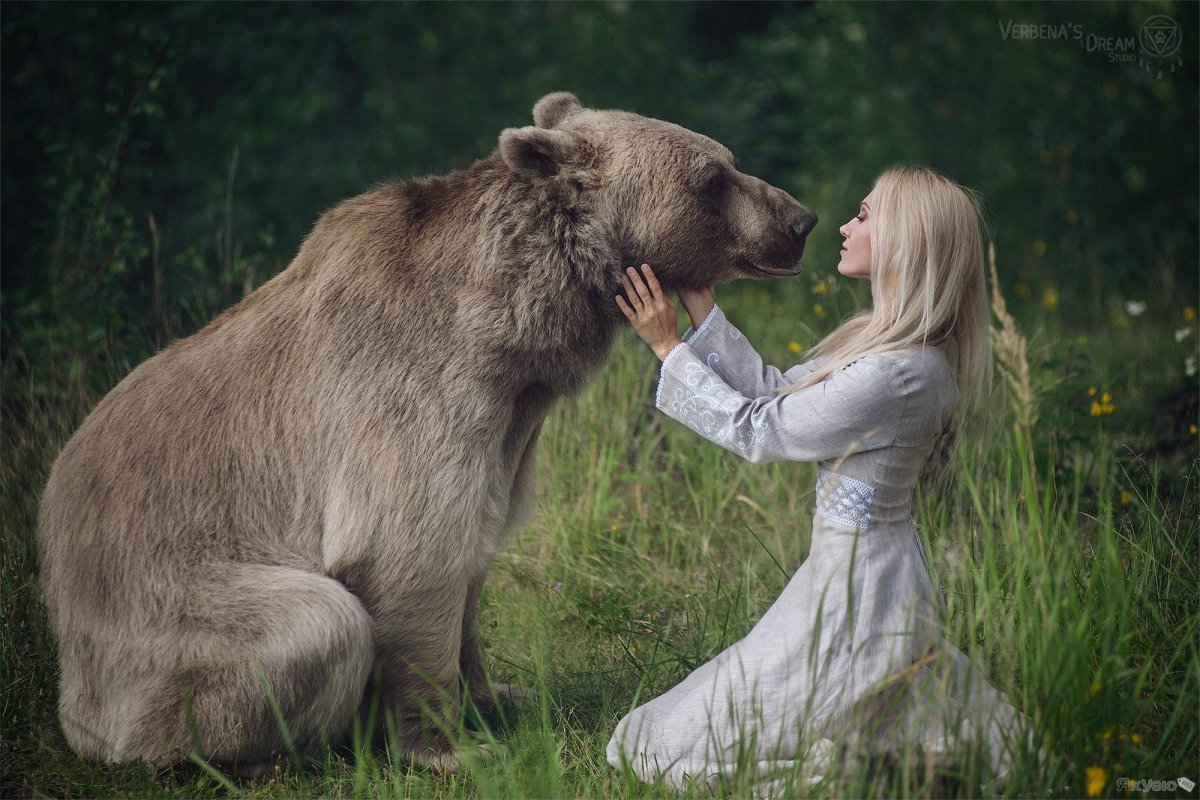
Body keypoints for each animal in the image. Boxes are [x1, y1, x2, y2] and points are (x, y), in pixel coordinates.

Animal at [37, 91, 817, 774]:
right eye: (713, 177)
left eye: (727, 163)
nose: (800, 220)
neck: (512, 333)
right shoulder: (408, 397)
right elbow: (408, 553)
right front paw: (450, 746)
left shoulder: (505, 434)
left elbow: (475, 550)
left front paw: (498, 695)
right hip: (165, 617)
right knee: (314, 622)